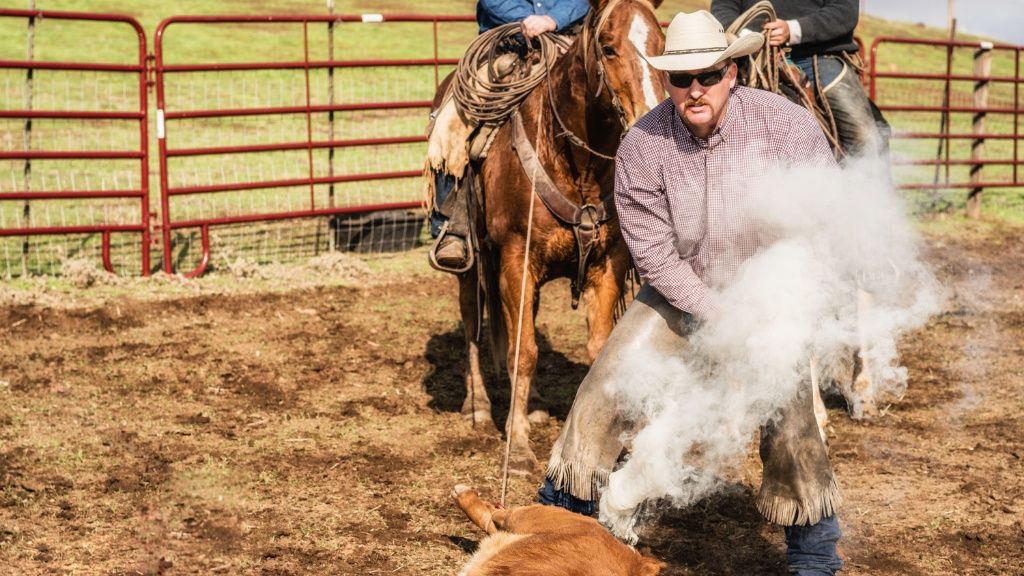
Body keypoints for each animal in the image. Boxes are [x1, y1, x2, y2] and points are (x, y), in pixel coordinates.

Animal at [458, 0, 667, 471]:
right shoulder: (515, 261)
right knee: (473, 328)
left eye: (662, 44)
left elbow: (594, 348)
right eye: (608, 47)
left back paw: (533, 404)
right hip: (469, 264)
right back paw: (478, 407)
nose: (651, 115)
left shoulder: (608, 264)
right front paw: (517, 446)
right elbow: (523, 352)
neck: (574, 163)